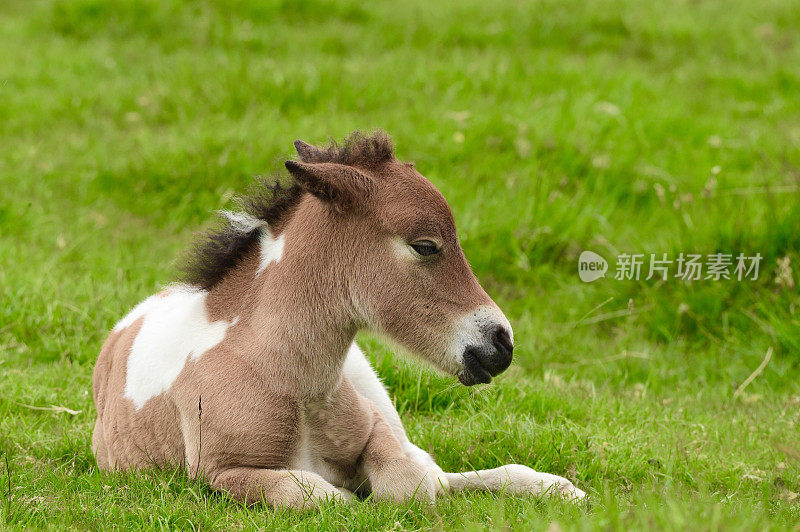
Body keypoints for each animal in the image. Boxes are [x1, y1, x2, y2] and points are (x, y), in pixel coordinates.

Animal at [90, 132, 584, 508]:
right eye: (425, 246)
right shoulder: (221, 473)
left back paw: (562, 489)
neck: (288, 379)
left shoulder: (378, 431)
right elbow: (324, 497)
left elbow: (413, 484)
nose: (501, 343)